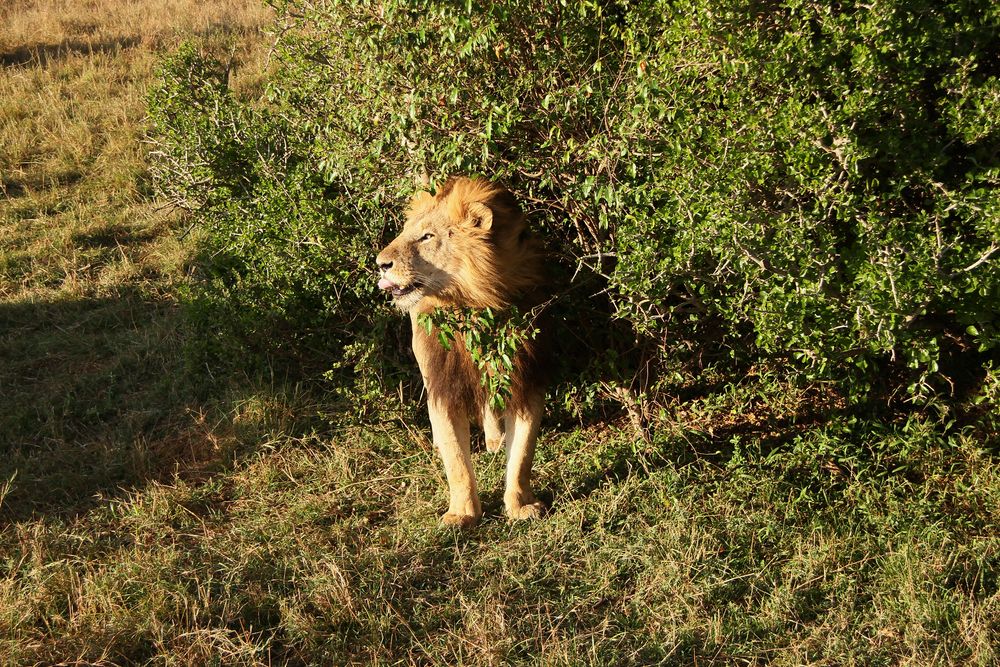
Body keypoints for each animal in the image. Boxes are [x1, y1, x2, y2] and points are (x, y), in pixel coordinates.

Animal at [376, 176, 548, 528]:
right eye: (404, 232)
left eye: (427, 236)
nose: (380, 264)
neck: (472, 304)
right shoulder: (443, 386)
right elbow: (456, 459)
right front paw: (462, 514)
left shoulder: (525, 379)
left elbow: (523, 454)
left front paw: (521, 506)